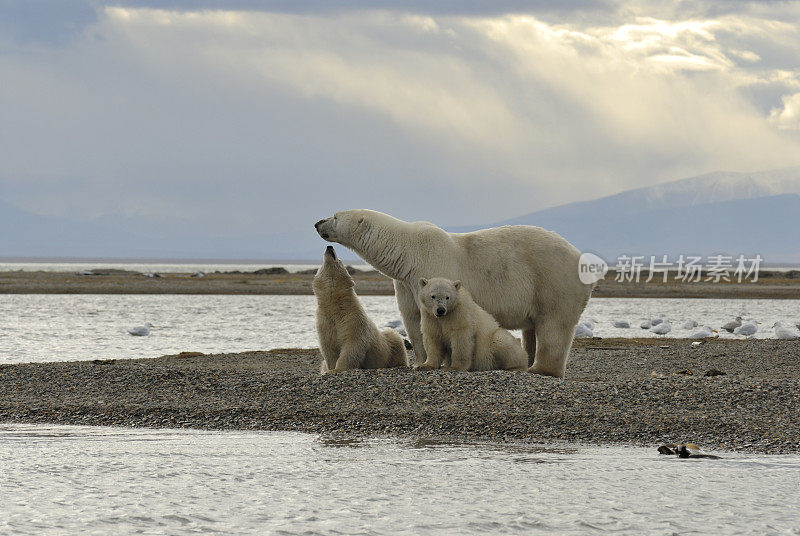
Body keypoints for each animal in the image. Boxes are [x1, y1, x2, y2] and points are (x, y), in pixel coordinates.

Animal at [316, 209, 592, 376]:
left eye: (335, 216)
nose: (317, 222)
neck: (407, 251)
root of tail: (581, 259)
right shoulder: (405, 283)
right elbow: (413, 320)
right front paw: (421, 361)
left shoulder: (432, 266)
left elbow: (437, 315)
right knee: (533, 327)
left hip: (553, 280)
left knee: (553, 325)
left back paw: (540, 369)